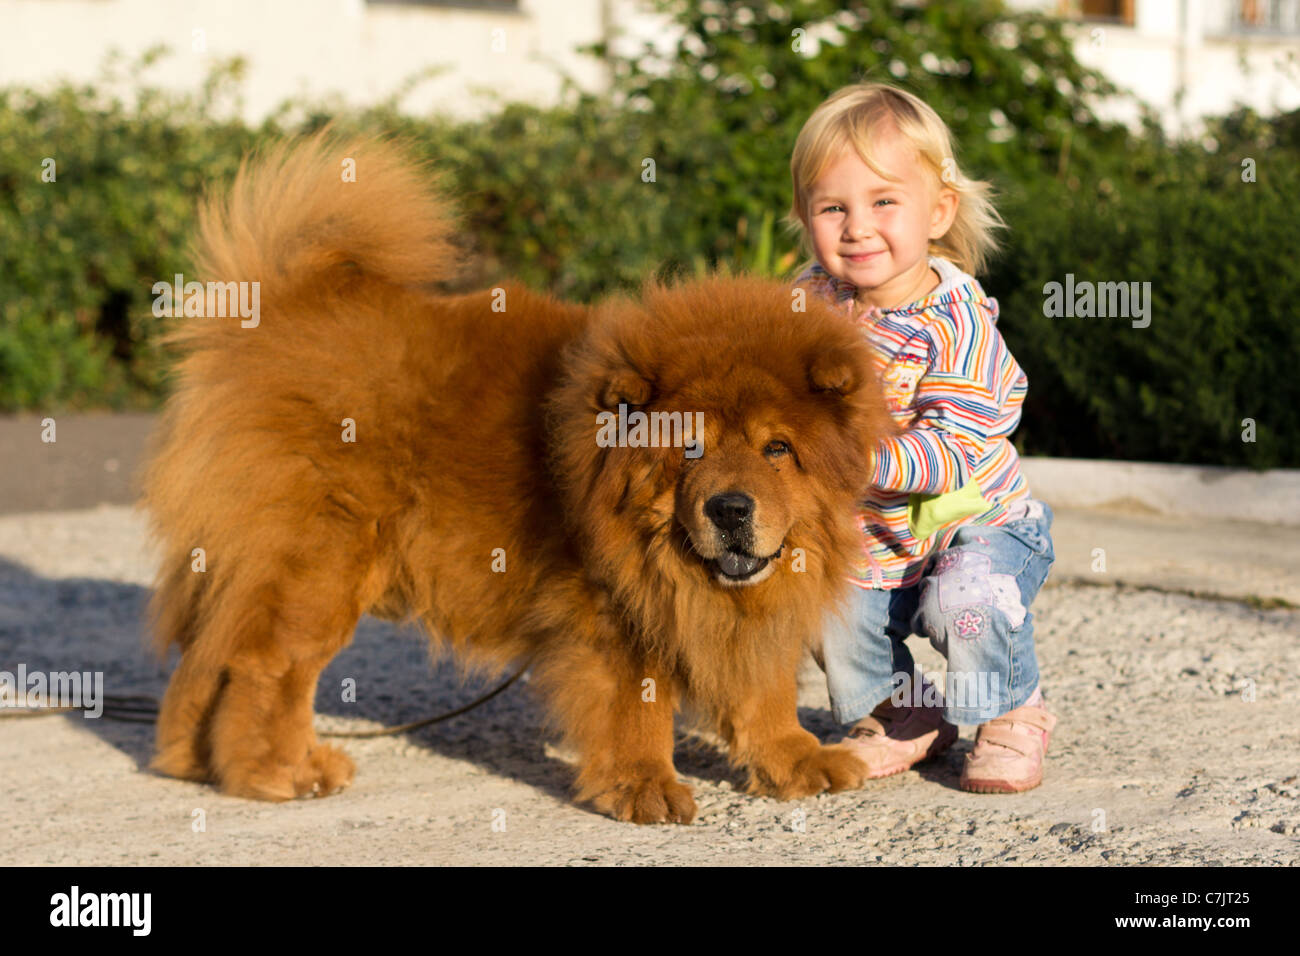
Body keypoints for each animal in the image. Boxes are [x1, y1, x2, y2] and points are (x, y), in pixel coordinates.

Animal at [142, 132, 894, 822]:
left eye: (777, 449)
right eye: (688, 447)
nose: (731, 508)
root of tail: (275, 311)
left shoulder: (739, 610)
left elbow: (763, 690)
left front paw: (796, 761)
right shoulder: (614, 609)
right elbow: (637, 709)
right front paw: (646, 789)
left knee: (209, 660)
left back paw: (194, 761)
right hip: (318, 565)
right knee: (267, 669)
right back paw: (278, 772)